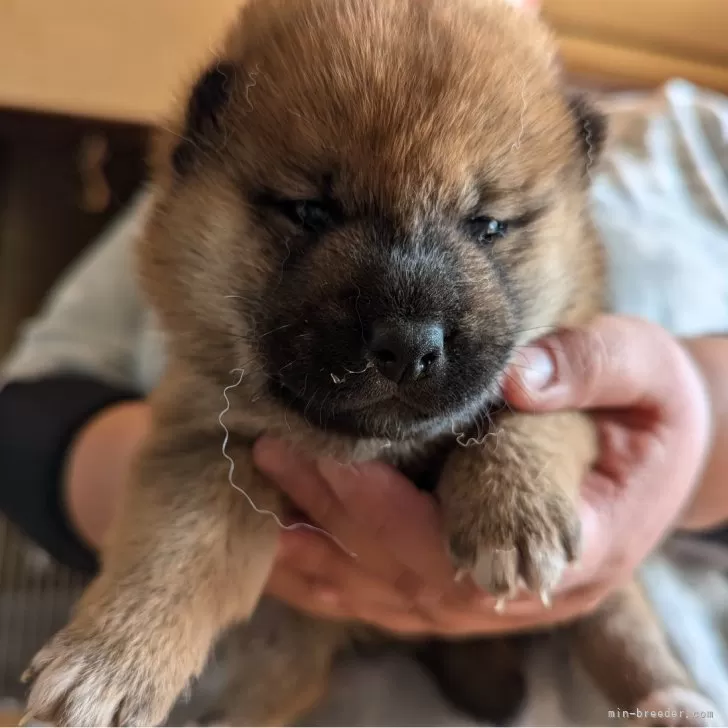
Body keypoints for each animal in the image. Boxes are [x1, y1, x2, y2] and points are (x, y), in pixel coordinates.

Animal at [24, 0, 724, 724]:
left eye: (487, 225)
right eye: (310, 211)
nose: (408, 345)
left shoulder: (573, 383)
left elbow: (530, 416)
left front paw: (512, 512)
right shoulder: (202, 442)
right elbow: (175, 546)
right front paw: (107, 664)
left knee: (621, 625)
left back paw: (669, 697)